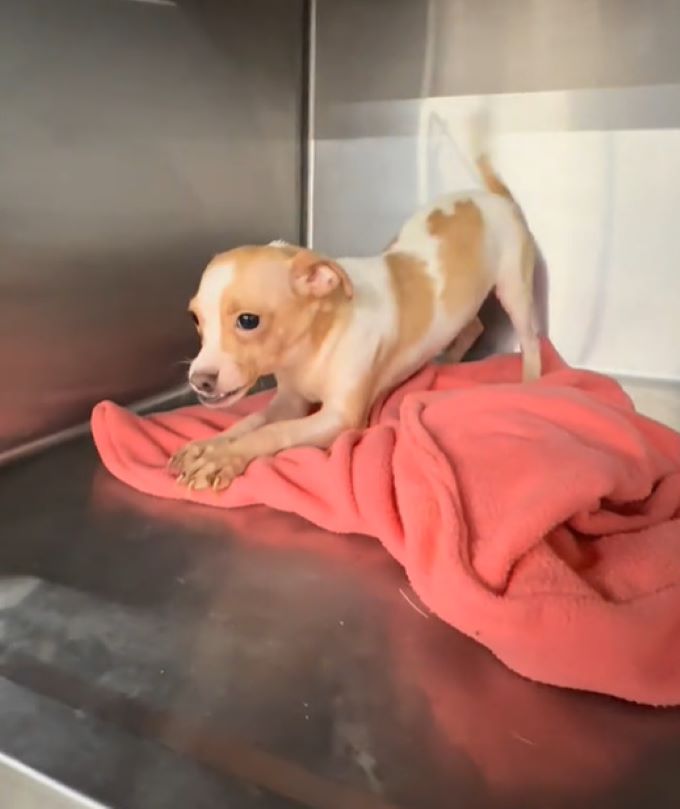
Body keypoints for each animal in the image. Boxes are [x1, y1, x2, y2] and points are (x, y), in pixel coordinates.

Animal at [171, 155, 540, 490]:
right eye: (195, 318)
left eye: (248, 321)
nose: (198, 381)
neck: (314, 348)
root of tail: (492, 196)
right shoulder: (290, 400)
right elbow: (253, 420)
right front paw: (209, 445)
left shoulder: (340, 418)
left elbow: (274, 431)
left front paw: (223, 458)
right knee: (473, 326)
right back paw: (444, 362)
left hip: (514, 288)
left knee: (531, 337)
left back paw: (530, 381)